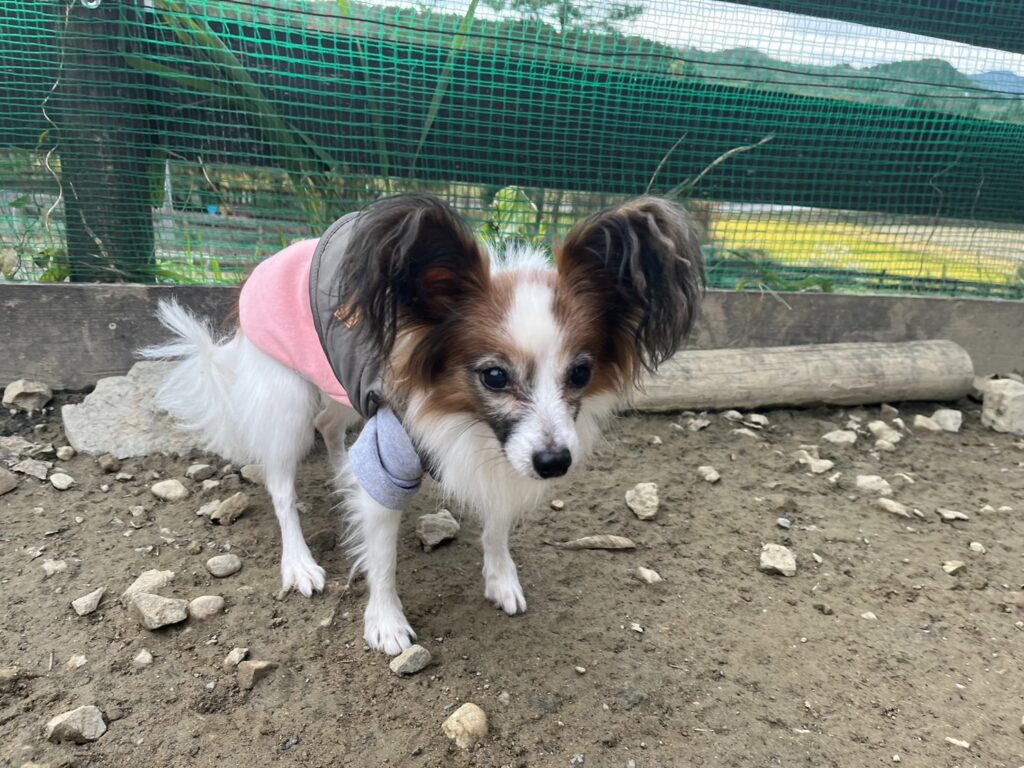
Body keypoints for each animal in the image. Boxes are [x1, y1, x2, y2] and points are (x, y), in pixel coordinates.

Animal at [143, 193, 704, 655]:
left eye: (581, 374)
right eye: (494, 376)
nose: (553, 463)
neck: (468, 421)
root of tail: (270, 262)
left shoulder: (500, 460)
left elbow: (496, 527)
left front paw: (501, 579)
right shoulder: (390, 458)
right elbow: (382, 557)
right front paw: (385, 622)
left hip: (343, 386)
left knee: (330, 425)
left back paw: (342, 473)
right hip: (286, 403)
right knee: (281, 486)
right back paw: (299, 562)